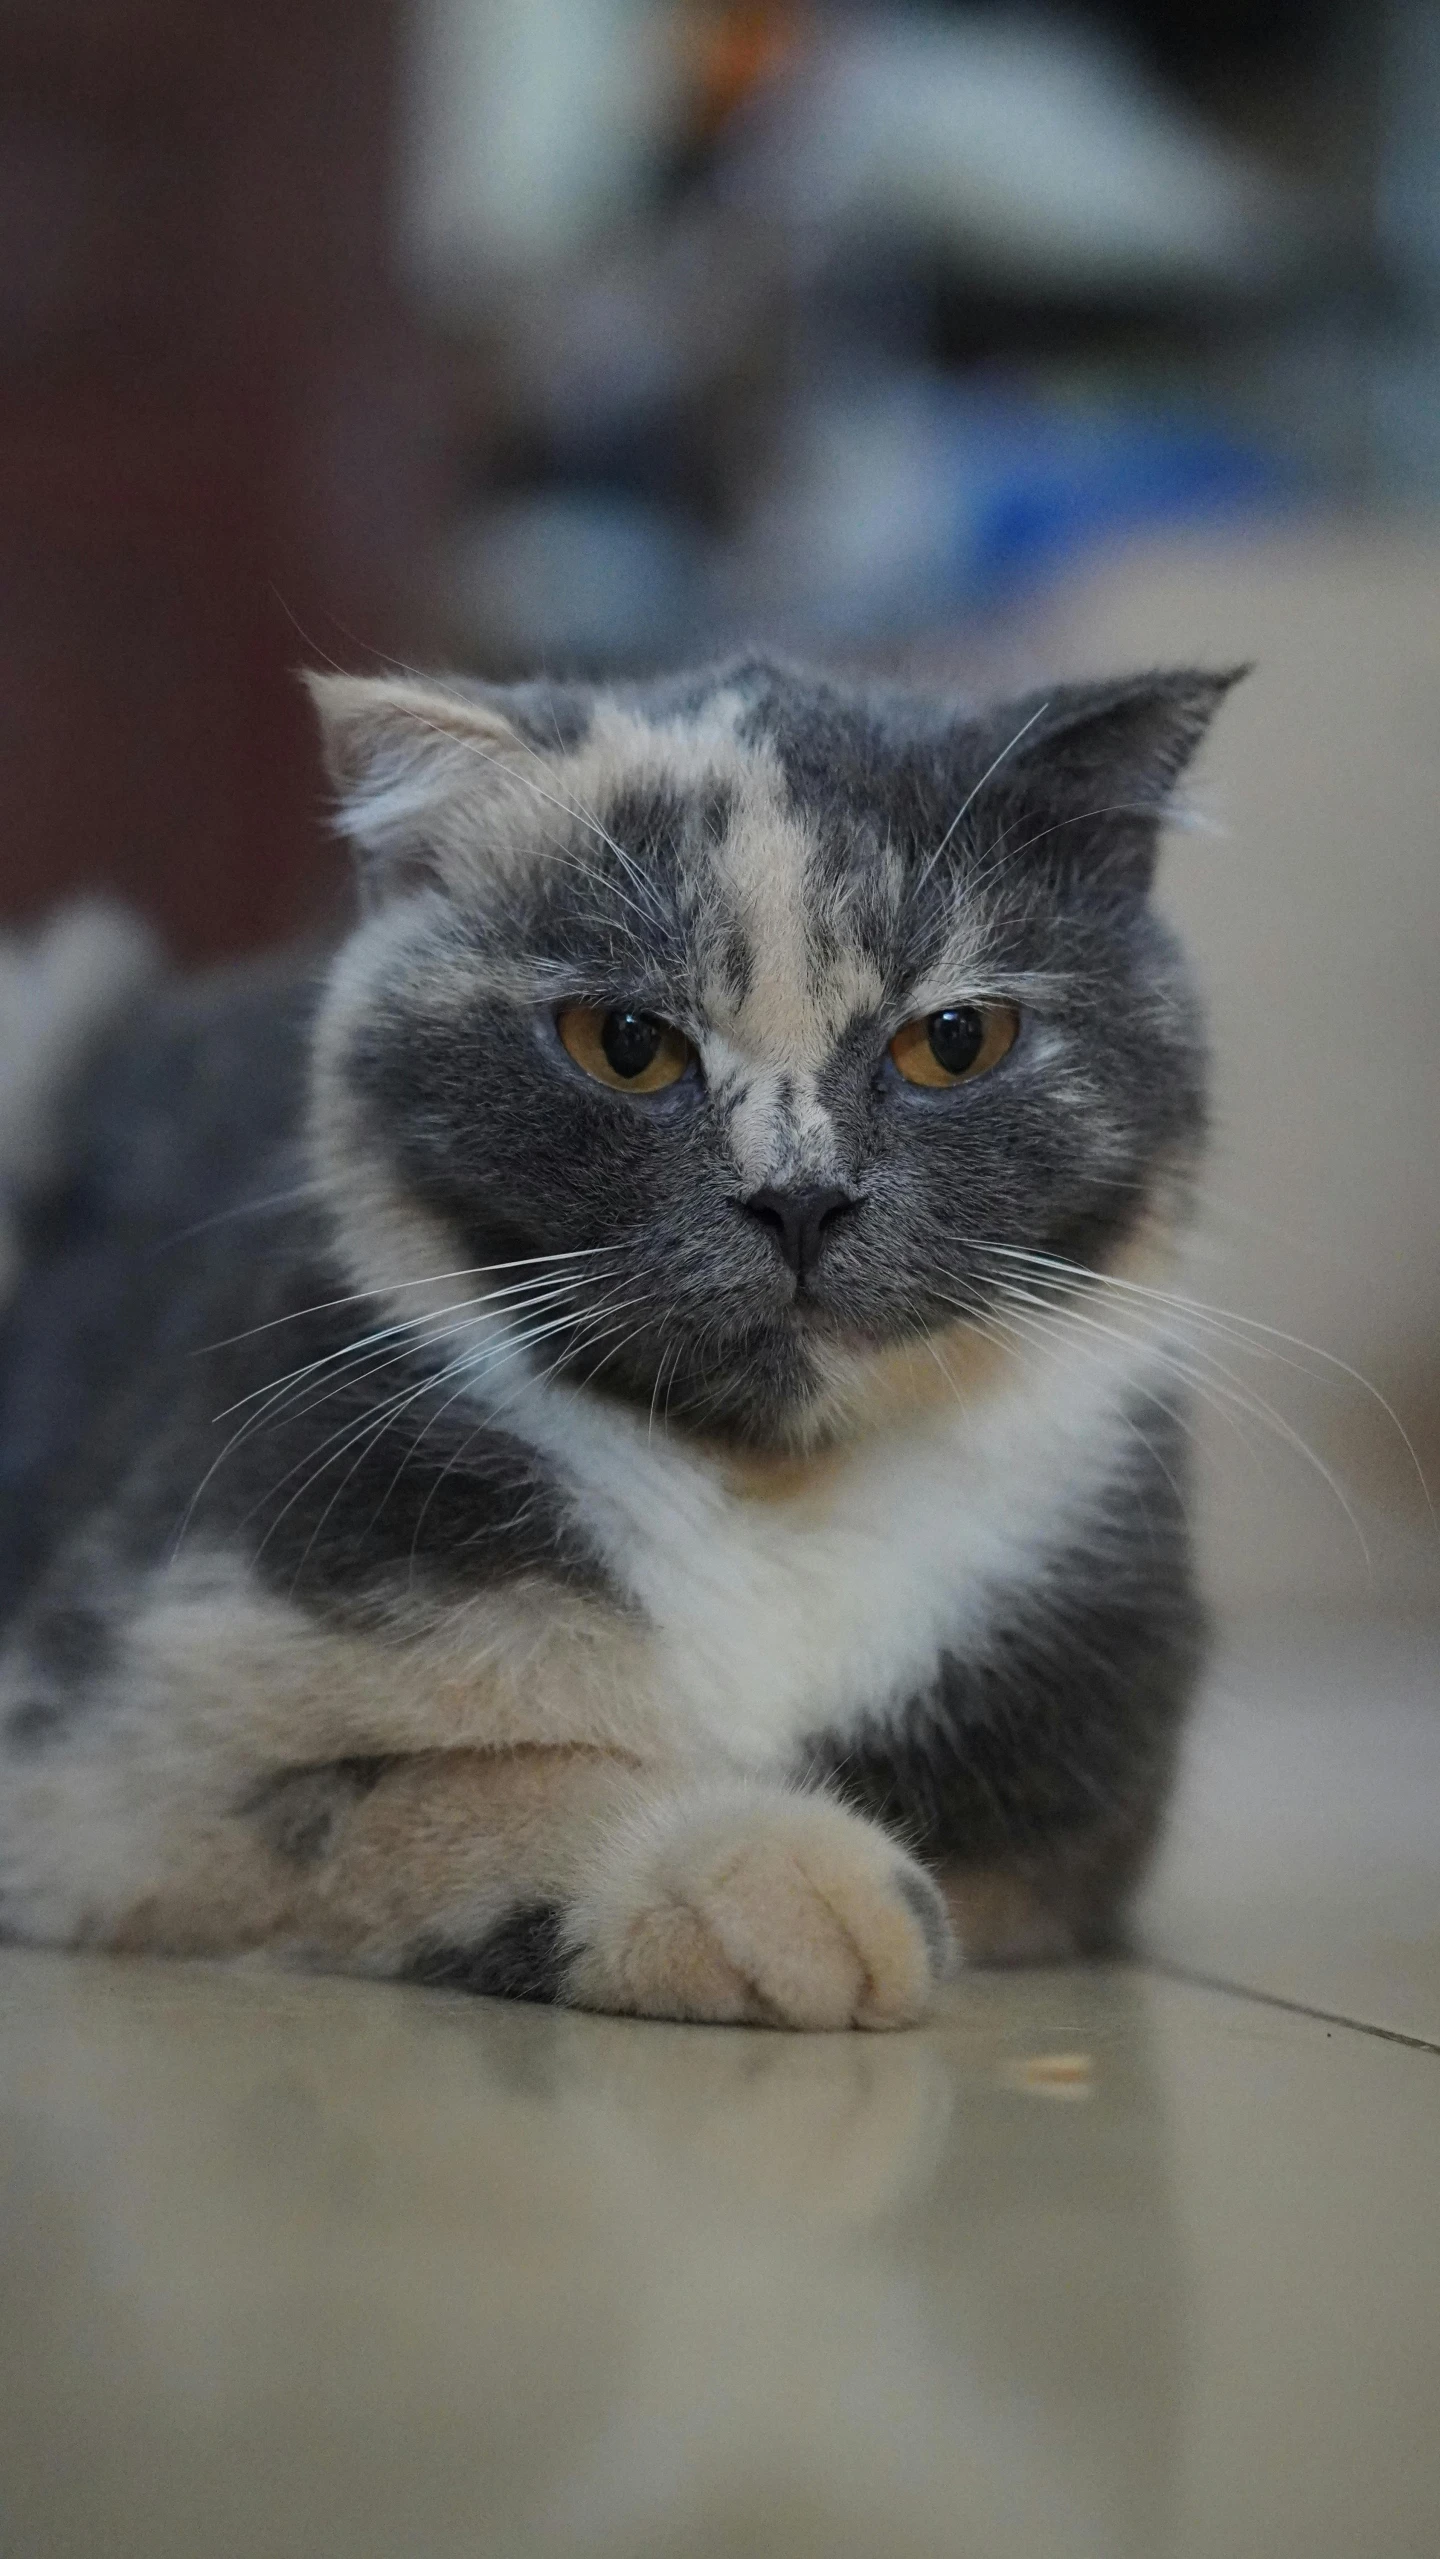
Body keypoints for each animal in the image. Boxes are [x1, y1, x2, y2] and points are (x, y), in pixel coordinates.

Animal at [0, 655, 1237, 2016]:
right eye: (627, 1044)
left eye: (956, 1040)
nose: (799, 1198)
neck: (770, 1494)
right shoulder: (94, 1773)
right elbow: (444, 1784)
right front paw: (784, 1882)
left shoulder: (1070, 1828)